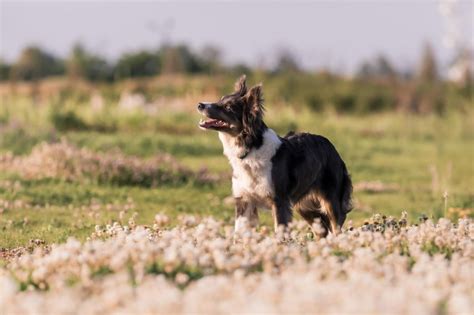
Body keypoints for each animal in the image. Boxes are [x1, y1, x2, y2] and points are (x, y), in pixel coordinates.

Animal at [197, 75, 352, 236]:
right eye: (220, 99)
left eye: (228, 108)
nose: (200, 104)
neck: (251, 148)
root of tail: (332, 148)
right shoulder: (244, 200)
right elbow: (239, 234)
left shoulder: (279, 201)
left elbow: (280, 231)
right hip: (305, 207)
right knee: (322, 231)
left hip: (331, 202)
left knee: (336, 227)